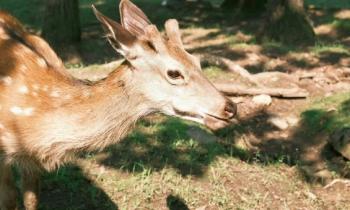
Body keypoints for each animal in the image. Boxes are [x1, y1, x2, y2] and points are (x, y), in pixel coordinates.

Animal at [0, 0, 238, 209]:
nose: (230, 107)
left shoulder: (30, 159)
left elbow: (32, 197)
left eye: (198, 61)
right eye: (174, 73)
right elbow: (9, 199)